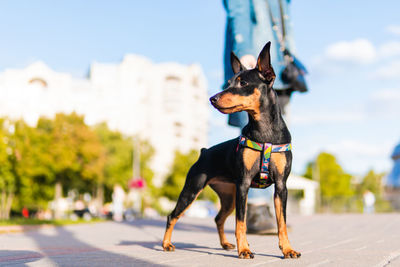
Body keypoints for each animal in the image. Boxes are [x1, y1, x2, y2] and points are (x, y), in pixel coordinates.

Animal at [162, 43, 300, 260]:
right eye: (228, 83)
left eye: (243, 83)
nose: (212, 98)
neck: (266, 134)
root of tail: (204, 152)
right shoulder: (244, 183)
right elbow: (240, 223)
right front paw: (244, 250)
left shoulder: (281, 186)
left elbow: (282, 223)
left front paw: (287, 249)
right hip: (193, 189)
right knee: (172, 215)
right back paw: (166, 244)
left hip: (229, 196)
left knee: (218, 218)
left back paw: (225, 244)